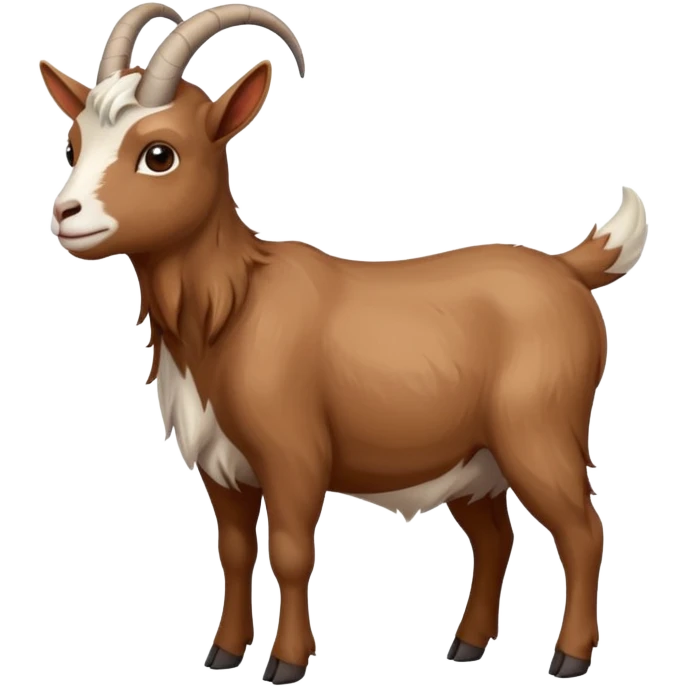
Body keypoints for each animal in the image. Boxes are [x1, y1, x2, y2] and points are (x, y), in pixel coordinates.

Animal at [39, 2, 648, 683]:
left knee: (582, 531)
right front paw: (223, 653)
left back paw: (569, 657)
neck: (233, 304)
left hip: (539, 431)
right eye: (73, 144)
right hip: (475, 458)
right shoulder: (223, 466)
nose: (65, 214)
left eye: (159, 153)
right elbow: (232, 551)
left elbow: (290, 552)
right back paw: (465, 645)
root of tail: (569, 268)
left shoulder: (293, 455)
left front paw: (286, 662)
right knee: (495, 538)